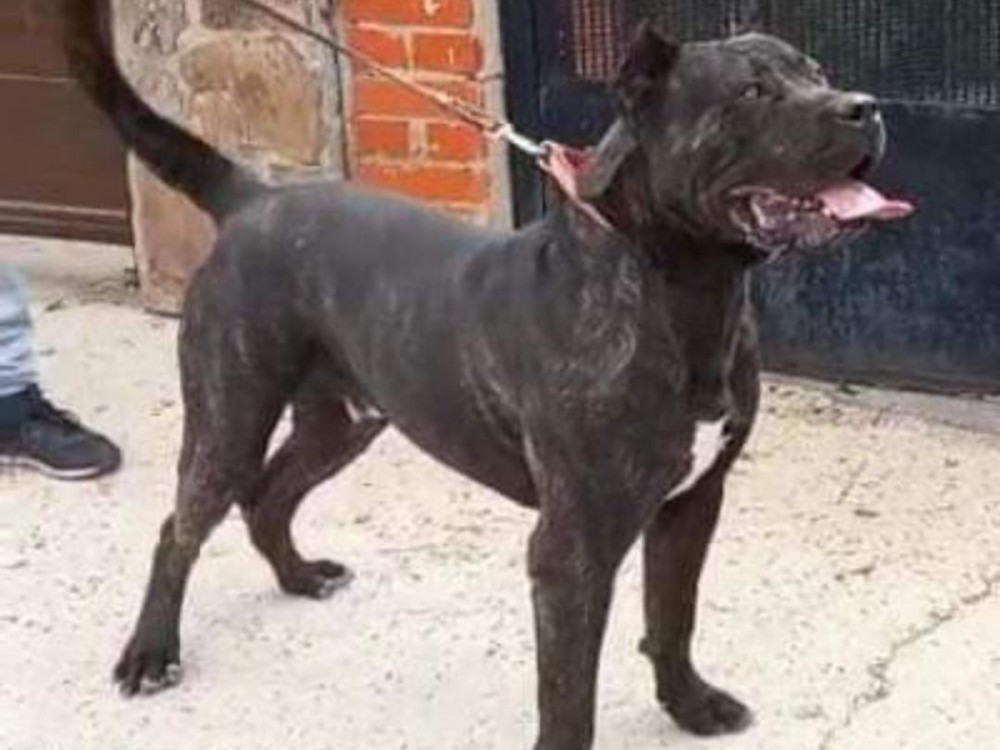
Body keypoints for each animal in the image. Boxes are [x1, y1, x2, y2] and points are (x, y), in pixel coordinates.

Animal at [66, 1, 910, 746]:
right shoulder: (572, 550)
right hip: (230, 412)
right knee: (181, 524)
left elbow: (672, 620)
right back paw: (151, 652)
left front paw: (690, 707)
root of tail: (253, 199)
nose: (863, 107)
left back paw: (301, 576)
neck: (680, 285)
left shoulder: (691, 503)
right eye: (751, 92)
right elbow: (569, 698)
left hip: (347, 420)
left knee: (270, 495)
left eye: (816, 72)